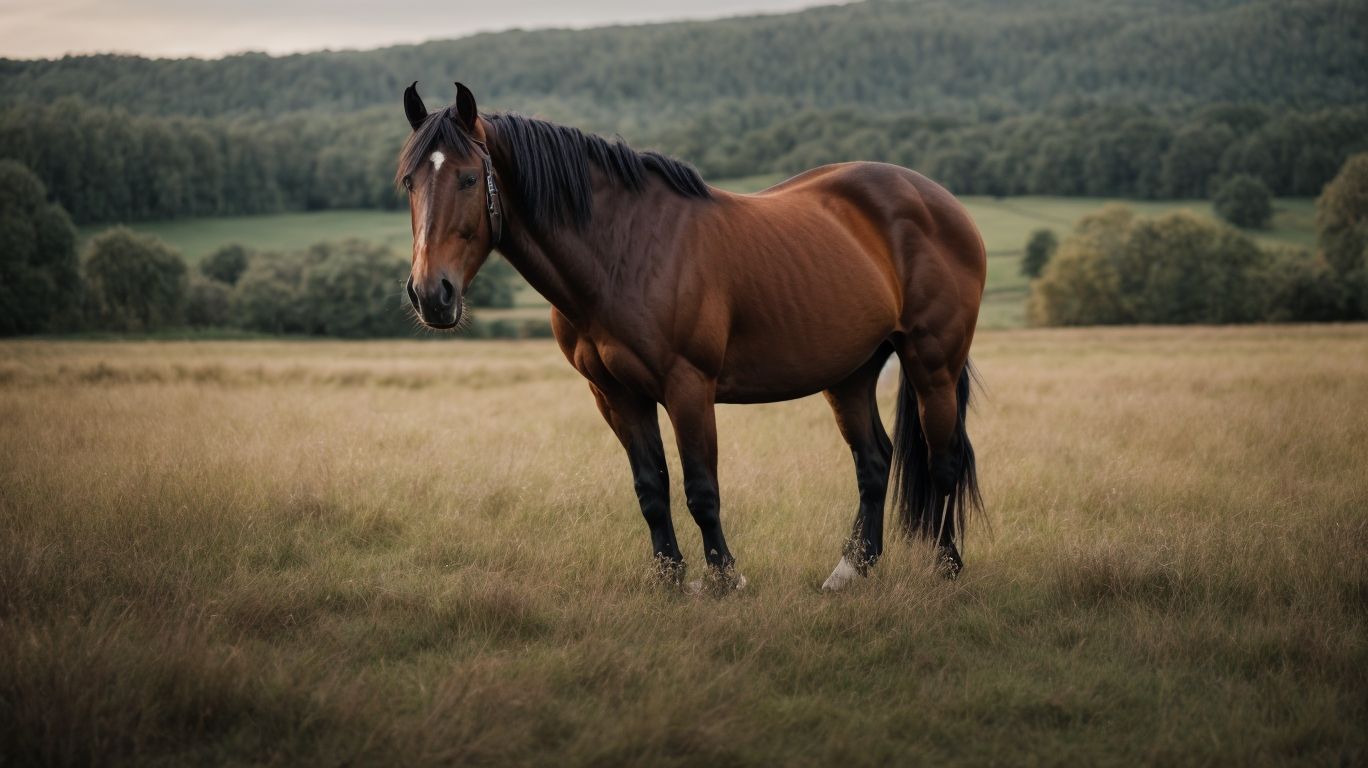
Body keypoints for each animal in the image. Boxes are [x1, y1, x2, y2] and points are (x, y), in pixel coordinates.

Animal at [397, 82, 986, 592]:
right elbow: (651, 489)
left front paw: (725, 579)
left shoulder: (688, 388)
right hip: (851, 374)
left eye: (469, 178)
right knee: (874, 462)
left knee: (944, 460)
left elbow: (701, 489)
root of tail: (940, 201)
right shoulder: (616, 395)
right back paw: (850, 571)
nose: (431, 294)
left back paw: (946, 568)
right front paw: (670, 580)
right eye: (409, 182)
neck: (622, 252)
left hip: (932, 362)